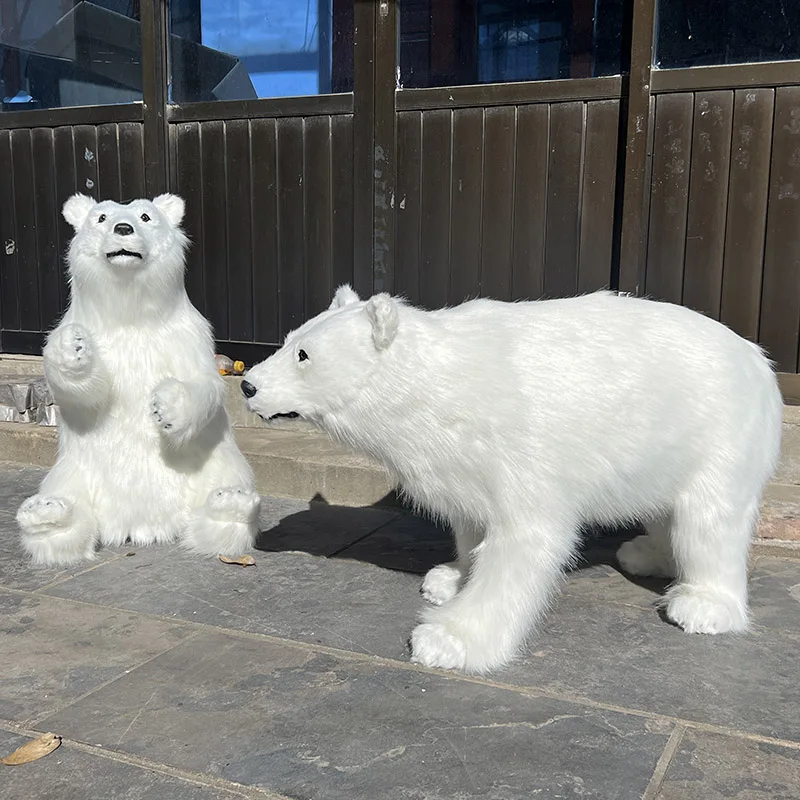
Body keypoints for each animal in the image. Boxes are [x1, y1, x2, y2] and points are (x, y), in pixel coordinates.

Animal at [16, 194, 260, 566]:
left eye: (146, 216)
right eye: (101, 217)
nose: (123, 227)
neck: (130, 313)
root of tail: (140, 525)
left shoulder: (185, 334)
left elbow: (204, 382)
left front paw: (166, 407)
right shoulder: (95, 330)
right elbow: (83, 392)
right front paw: (72, 347)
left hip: (213, 461)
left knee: (224, 497)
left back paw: (230, 503)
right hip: (74, 471)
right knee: (67, 511)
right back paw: (47, 514)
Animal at [240, 286, 783, 674]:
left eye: (305, 354)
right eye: (288, 339)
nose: (247, 384)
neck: (440, 387)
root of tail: (759, 359)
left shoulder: (522, 447)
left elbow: (525, 541)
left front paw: (446, 640)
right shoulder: (459, 458)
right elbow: (469, 520)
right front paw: (449, 578)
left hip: (720, 432)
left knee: (710, 519)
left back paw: (702, 606)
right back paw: (646, 555)